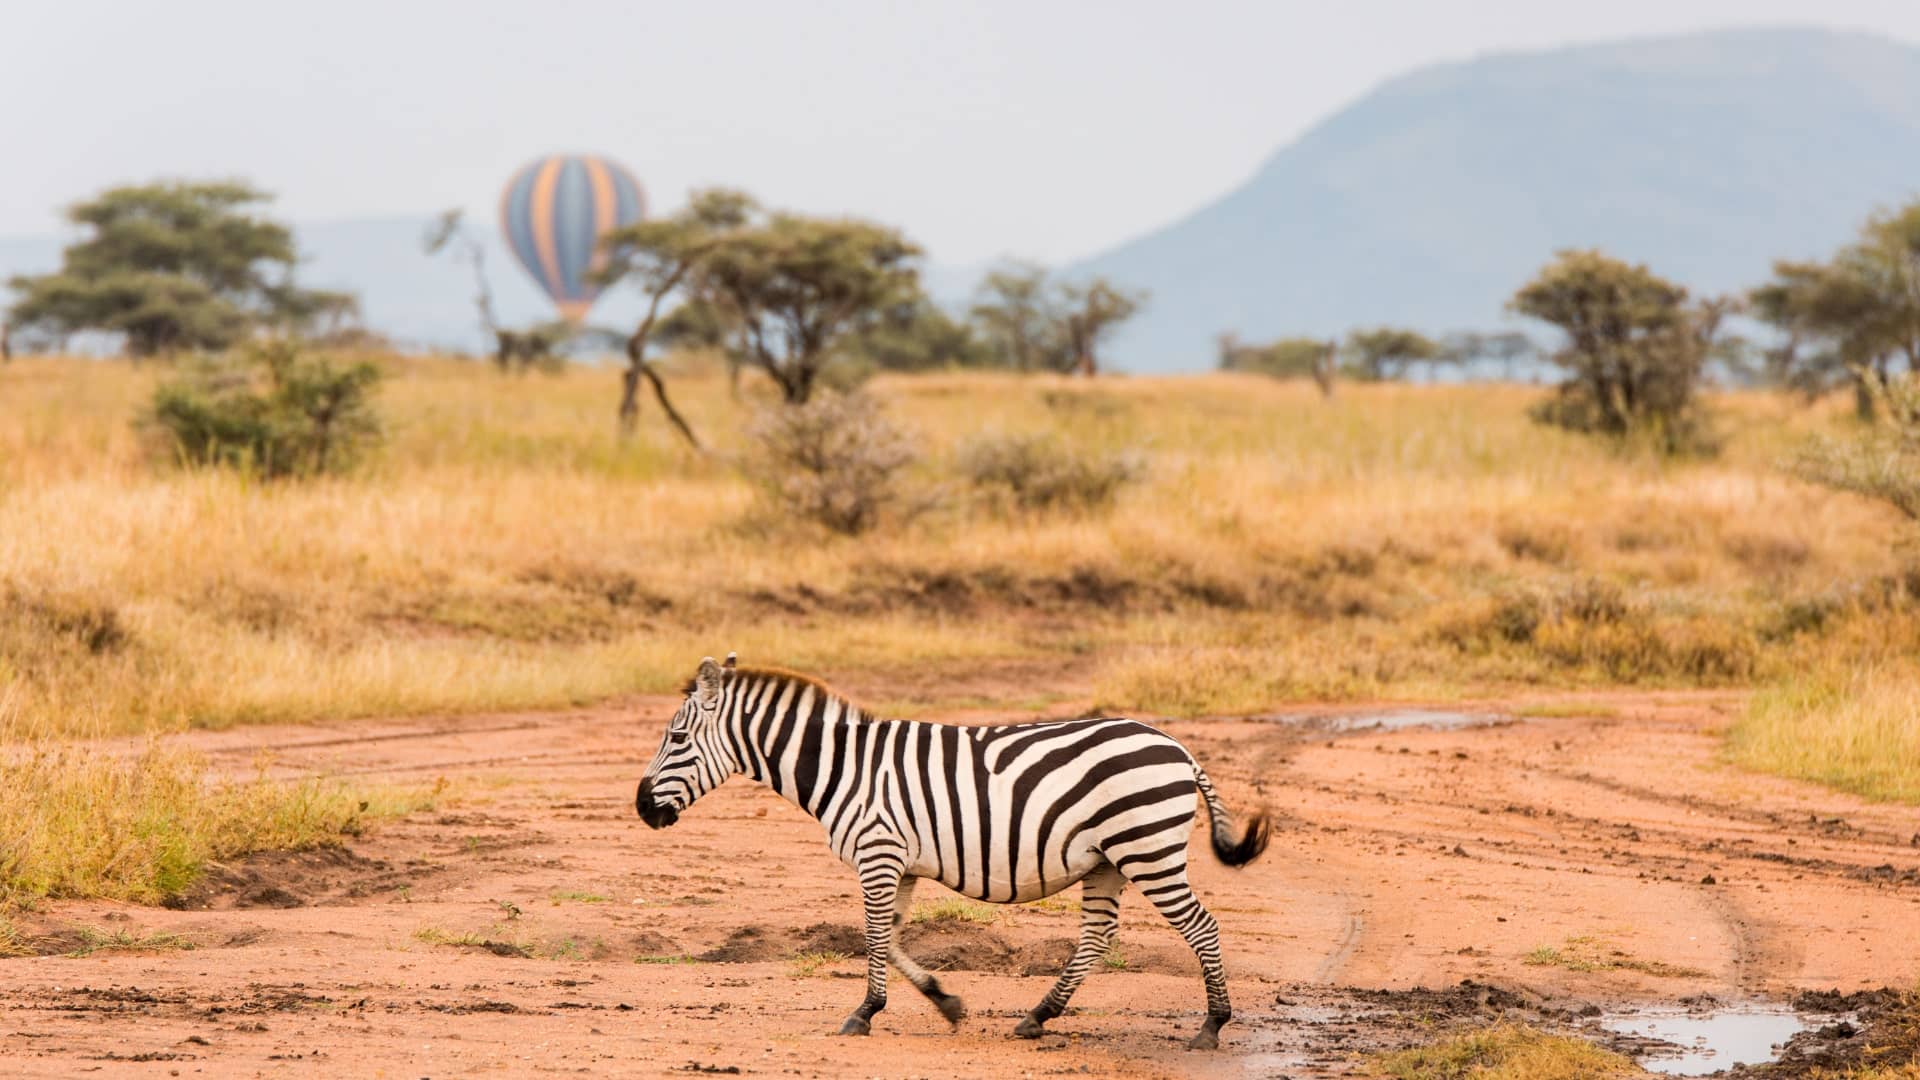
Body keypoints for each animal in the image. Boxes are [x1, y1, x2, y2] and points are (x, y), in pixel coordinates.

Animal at [629, 653, 1267, 1045]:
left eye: (677, 737)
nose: (640, 807)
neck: (844, 769)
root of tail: (1178, 748)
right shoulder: (900, 864)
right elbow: (889, 940)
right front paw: (945, 1002)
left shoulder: (878, 853)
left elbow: (874, 938)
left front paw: (864, 1013)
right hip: (1107, 860)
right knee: (1096, 937)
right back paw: (1038, 1016)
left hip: (1145, 849)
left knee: (1201, 927)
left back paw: (1212, 1025)